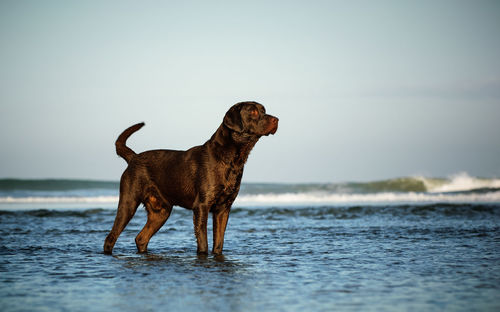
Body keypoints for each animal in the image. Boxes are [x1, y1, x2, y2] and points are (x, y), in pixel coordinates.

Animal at [104, 101, 280, 255]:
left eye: (264, 110)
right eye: (253, 112)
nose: (276, 119)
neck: (231, 159)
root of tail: (133, 158)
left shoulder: (223, 208)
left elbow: (219, 244)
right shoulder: (202, 206)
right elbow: (203, 243)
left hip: (161, 211)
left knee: (141, 238)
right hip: (128, 202)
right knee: (110, 238)